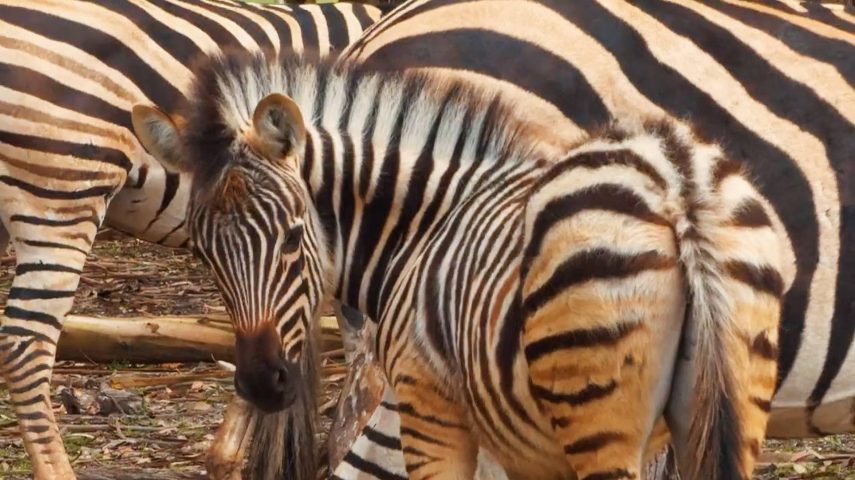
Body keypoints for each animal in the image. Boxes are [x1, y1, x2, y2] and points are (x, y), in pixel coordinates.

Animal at [132, 49, 784, 480]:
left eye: (294, 237)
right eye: (202, 254)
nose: (262, 384)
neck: (422, 228)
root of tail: (677, 176)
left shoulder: (429, 403)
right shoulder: (523, 440)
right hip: (731, 399)